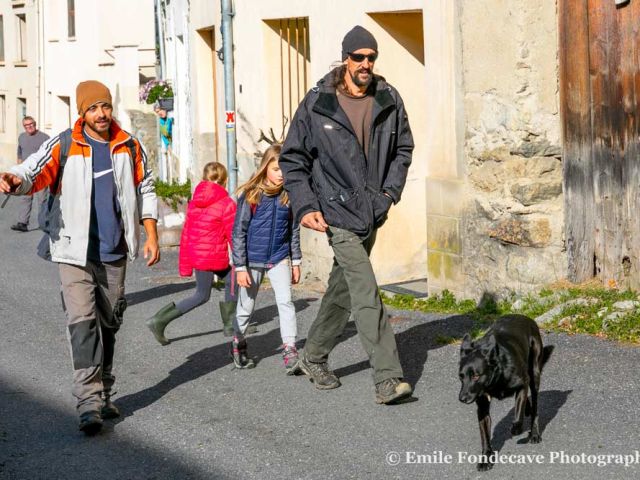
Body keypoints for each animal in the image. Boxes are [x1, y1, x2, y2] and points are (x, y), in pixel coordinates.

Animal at [458, 314, 552, 470]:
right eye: (461, 376)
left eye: (476, 376)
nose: (462, 398)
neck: (496, 378)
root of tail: (524, 317)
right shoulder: (482, 408)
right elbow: (485, 436)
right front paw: (486, 458)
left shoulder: (522, 385)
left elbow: (518, 413)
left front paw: (516, 429)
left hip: (534, 375)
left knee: (535, 407)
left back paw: (534, 433)